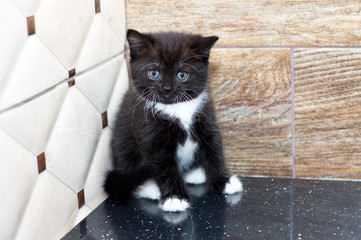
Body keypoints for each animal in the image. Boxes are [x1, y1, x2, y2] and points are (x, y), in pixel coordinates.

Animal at [103, 28, 242, 212]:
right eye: (154, 73)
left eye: (182, 75)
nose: (167, 88)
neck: (177, 108)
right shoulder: (150, 132)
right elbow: (165, 167)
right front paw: (175, 198)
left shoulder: (207, 120)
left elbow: (214, 150)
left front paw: (224, 182)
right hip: (122, 146)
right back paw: (151, 189)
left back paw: (195, 173)